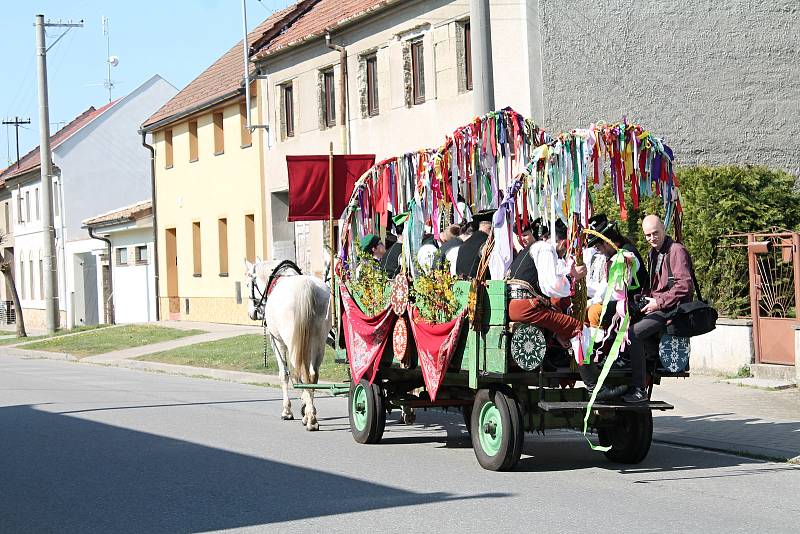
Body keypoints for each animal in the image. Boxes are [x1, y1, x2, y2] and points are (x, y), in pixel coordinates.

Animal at [244, 258, 332, 432]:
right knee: (312, 374)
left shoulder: (277, 342)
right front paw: (305, 404)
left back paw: (310, 419)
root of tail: (306, 287)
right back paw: (311, 415)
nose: (251, 313)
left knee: (302, 373)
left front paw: (288, 411)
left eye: (248, 283)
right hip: (318, 343)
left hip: (292, 342)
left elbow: (284, 374)